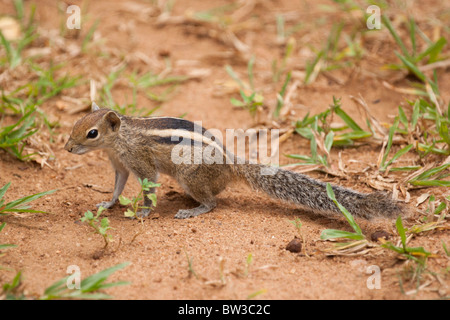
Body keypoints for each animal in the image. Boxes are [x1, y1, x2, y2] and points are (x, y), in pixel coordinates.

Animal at [65, 102, 406, 220]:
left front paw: (144, 212)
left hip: (191, 176)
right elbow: (118, 187)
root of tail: (230, 162)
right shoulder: (120, 166)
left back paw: (193, 210)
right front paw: (107, 204)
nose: (68, 148)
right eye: (76, 123)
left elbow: (148, 188)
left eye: (92, 133)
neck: (120, 139)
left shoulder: (141, 163)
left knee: (213, 202)